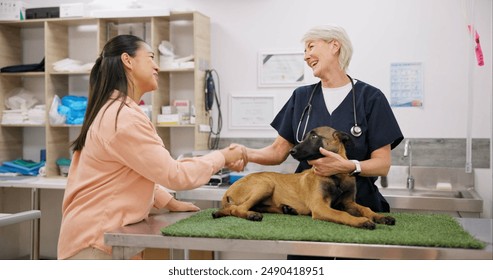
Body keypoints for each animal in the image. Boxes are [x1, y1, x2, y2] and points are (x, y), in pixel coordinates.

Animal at [211, 127, 396, 230]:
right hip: (265, 184)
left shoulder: (348, 202)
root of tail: (228, 190)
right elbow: (342, 214)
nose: (291, 151)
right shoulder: (320, 207)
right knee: (237, 209)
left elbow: (366, 208)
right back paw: (252, 215)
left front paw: (380, 217)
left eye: (314, 137)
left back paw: (287, 209)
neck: (335, 176)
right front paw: (361, 221)